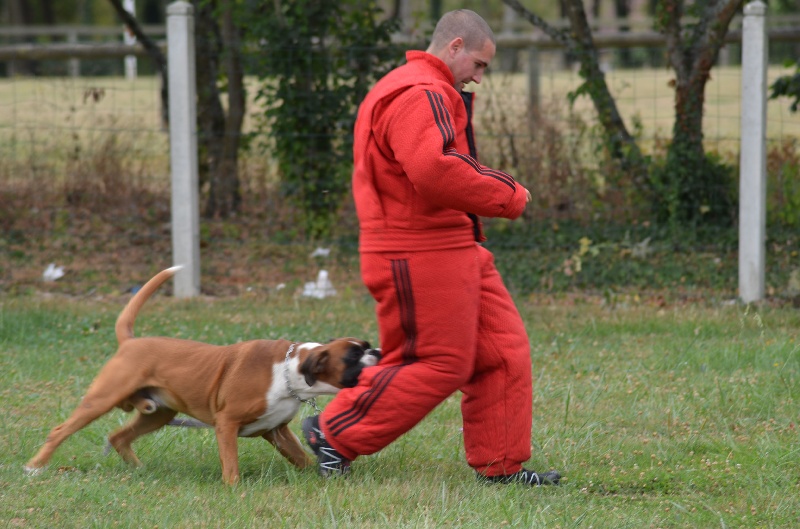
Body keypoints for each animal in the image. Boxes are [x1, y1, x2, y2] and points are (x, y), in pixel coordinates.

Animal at [25, 266, 382, 484]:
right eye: (353, 357)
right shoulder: (227, 424)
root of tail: (131, 341)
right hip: (101, 400)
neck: (288, 372)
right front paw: (234, 487)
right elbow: (231, 463)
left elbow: (300, 458)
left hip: (157, 413)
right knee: (61, 430)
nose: (376, 352)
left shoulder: (277, 432)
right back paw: (34, 467)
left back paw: (140, 470)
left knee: (118, 437)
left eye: (365, 346)